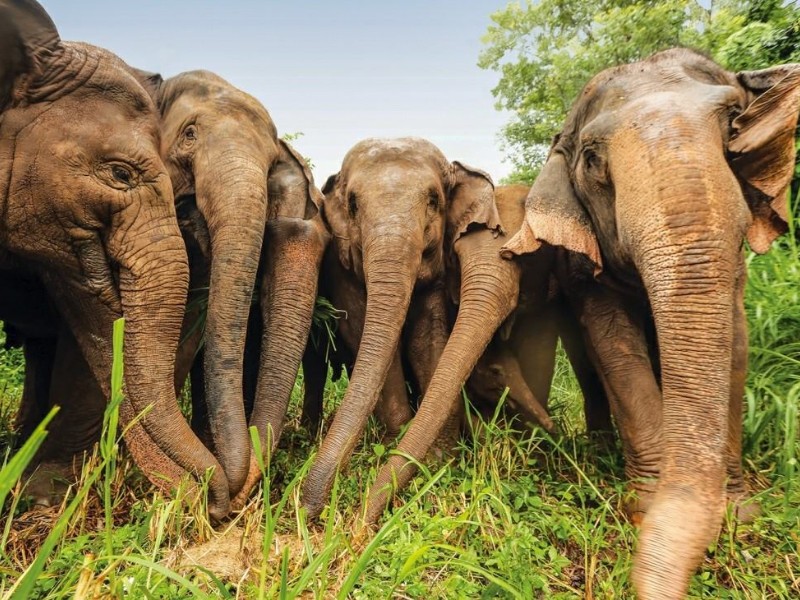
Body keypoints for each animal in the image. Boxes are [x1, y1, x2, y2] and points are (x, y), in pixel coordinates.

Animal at [300, 138, 500, 516]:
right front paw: (397, 445)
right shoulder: (341, 267)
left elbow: (428, 339)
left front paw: (438, 460)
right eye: (353, 204)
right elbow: (366, 334)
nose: (305, 504)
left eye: (434, 200)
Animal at [500, 49, 800, 596]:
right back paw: (599, 450)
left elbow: (736, 346)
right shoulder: (583, 269)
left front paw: (738, 517)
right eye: (592, 159)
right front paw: (643, 510)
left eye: (735, 122)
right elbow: (616, 348)